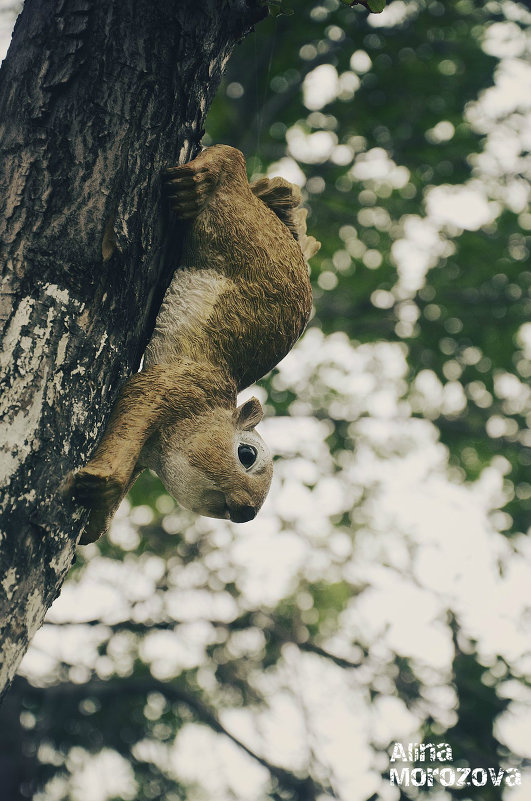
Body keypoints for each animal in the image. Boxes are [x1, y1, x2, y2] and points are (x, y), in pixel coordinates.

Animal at [69, 144, 322, 544]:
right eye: (246, 455)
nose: (247, 513)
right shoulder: (175, 386)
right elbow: (137, 401)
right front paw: (103, 482)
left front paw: (95, 520)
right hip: (236, 222)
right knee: (231, 159)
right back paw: (201, 177)